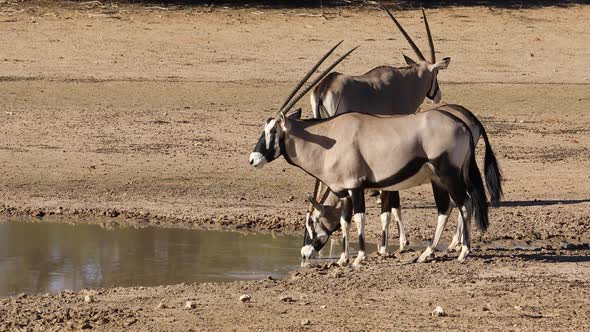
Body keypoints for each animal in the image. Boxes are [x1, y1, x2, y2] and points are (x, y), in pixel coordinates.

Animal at [250, 44, 490, 268]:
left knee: (465, 204)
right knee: (445, 208)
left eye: (273, 131)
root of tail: (463, 125)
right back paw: (427, 253)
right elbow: (345, 221)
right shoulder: (344, 191)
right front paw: (343, 259)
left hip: (448, 174)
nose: (253, 159)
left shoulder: (355, 186)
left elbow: (359, 218)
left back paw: (463, 251)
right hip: (437, 179)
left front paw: (359, 258)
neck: (330, 137)